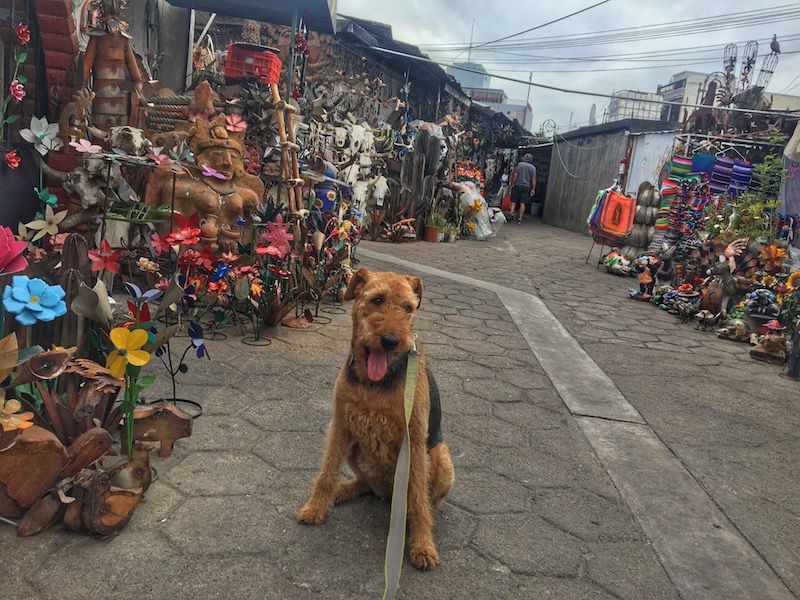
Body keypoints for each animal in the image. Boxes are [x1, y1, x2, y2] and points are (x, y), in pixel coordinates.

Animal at [296, 268, 454, 568]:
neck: (372, 384)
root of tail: (390, 494)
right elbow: (327, 471)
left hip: (440, 455)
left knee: (428, 502)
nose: (391, 342)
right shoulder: (341, 424)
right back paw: (341, 492)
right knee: (367, 485)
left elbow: (419, 498)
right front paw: (315, 508)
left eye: (408, 308)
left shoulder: (414, 439)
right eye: (377, 300)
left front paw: (423, 547)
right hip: (357, 450)